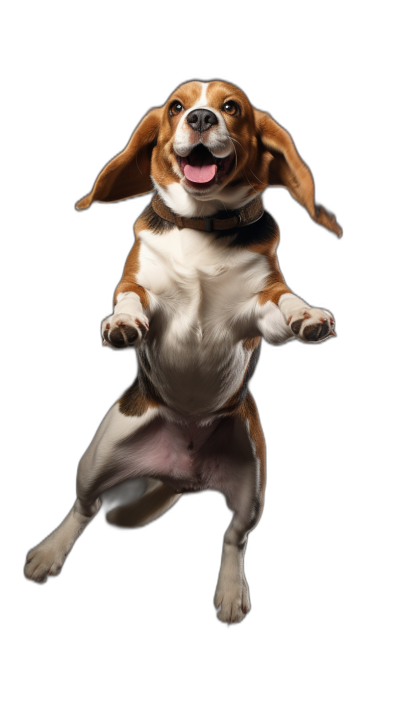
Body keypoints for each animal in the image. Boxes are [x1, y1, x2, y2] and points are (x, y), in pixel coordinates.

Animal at [25, 79, 342, 624]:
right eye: (176, 106)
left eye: (231, 107)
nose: (200, 118)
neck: (201, 227)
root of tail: (183, 475)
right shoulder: (139, 286)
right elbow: (132, 300)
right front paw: (122, 324)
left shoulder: (260, 310)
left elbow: (284, 305)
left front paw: (308, 316)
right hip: (96, 457)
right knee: (85, 507)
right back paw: (49, 552)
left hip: (254, 483)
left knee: (235, 537)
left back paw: (232, 591)